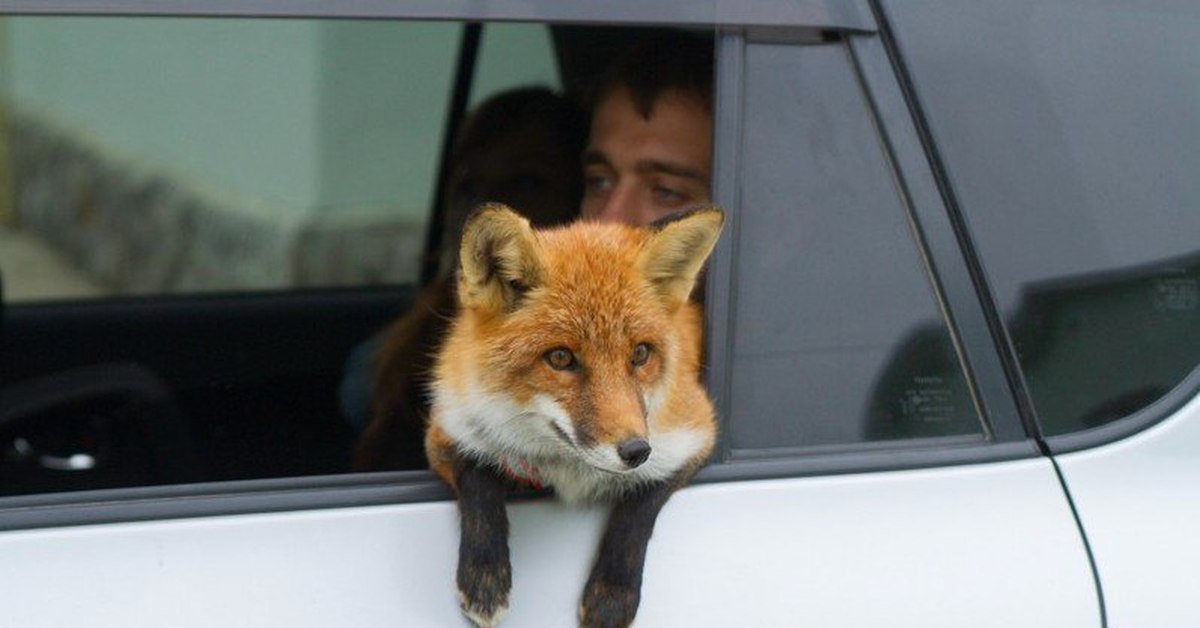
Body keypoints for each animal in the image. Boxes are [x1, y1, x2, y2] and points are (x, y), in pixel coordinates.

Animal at [429, 204, 720, 624]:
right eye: (561, 358)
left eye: (641, 354)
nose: (636, 451)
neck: (570, 468)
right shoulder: (446, 427)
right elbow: (479, 482)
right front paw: (485, 574)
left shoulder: (695, 433)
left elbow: (639, 507)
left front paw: (612, 595)